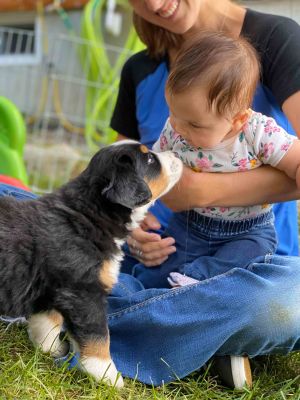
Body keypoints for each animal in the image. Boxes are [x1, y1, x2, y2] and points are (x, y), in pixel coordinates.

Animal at [0, 140, 182, 388]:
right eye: (150, 159)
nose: (177, 153)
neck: (91, 214)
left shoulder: (54, 287)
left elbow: (48, 322)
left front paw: (50, 349)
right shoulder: (84, 292)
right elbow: (99, 336)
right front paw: (107, 375)